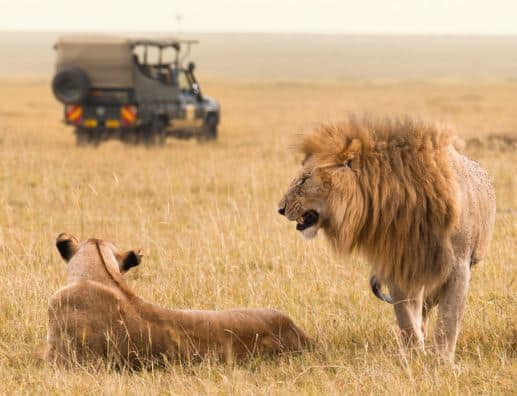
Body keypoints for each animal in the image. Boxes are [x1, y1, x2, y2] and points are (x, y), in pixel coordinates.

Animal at [278, 115, 496, 362]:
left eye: (304, 179)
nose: (280, 208)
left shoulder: (458, 266)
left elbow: (448, 319)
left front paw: (442, 361)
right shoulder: (398, 264)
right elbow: (406, 318)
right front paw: (413, 356)